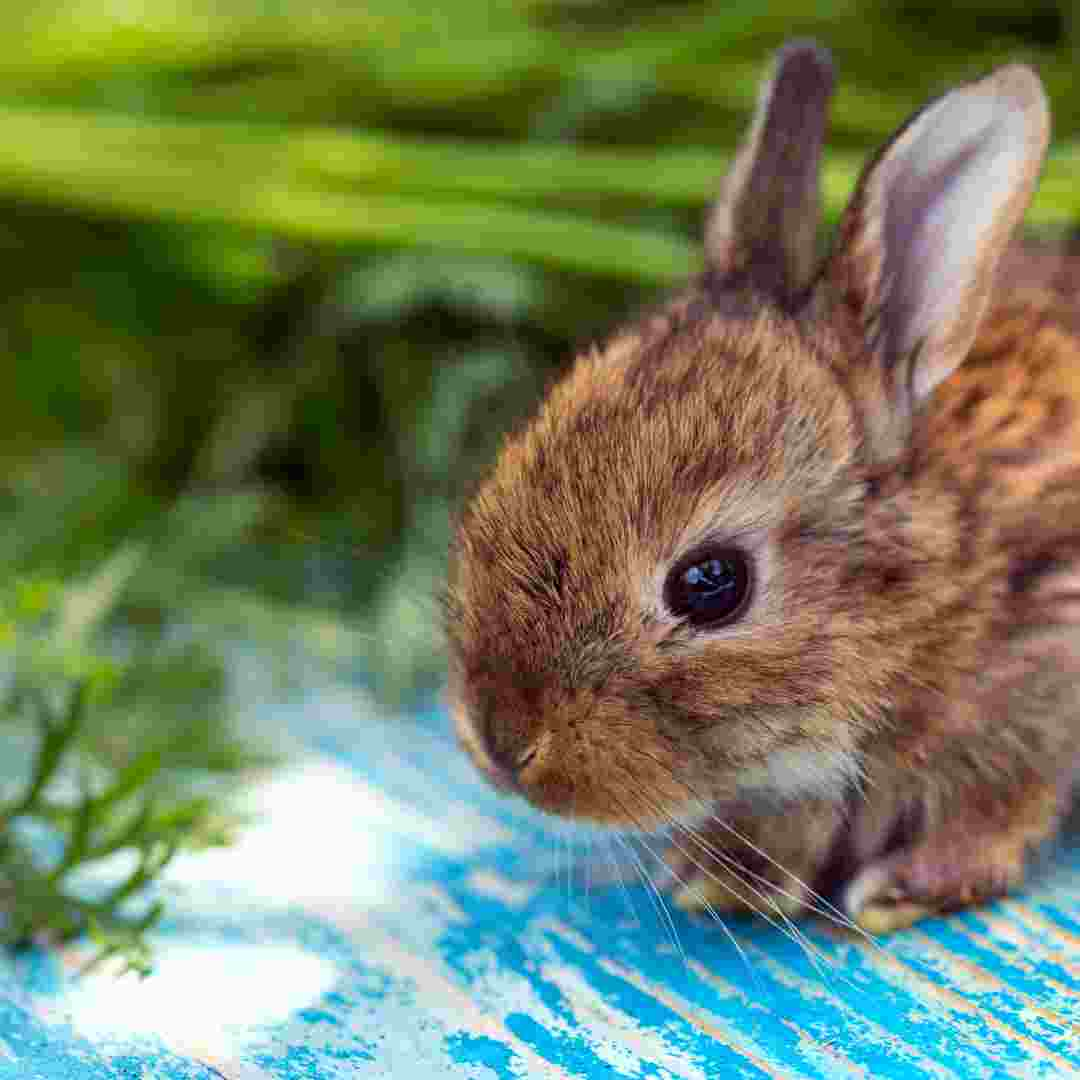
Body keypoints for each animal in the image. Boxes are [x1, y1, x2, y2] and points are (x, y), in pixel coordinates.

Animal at [440, 42, 1080, 933]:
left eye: (712, 585)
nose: (501, 744)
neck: (938, 583)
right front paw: (728, 874)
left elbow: (1000, 802)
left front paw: (908, 886)